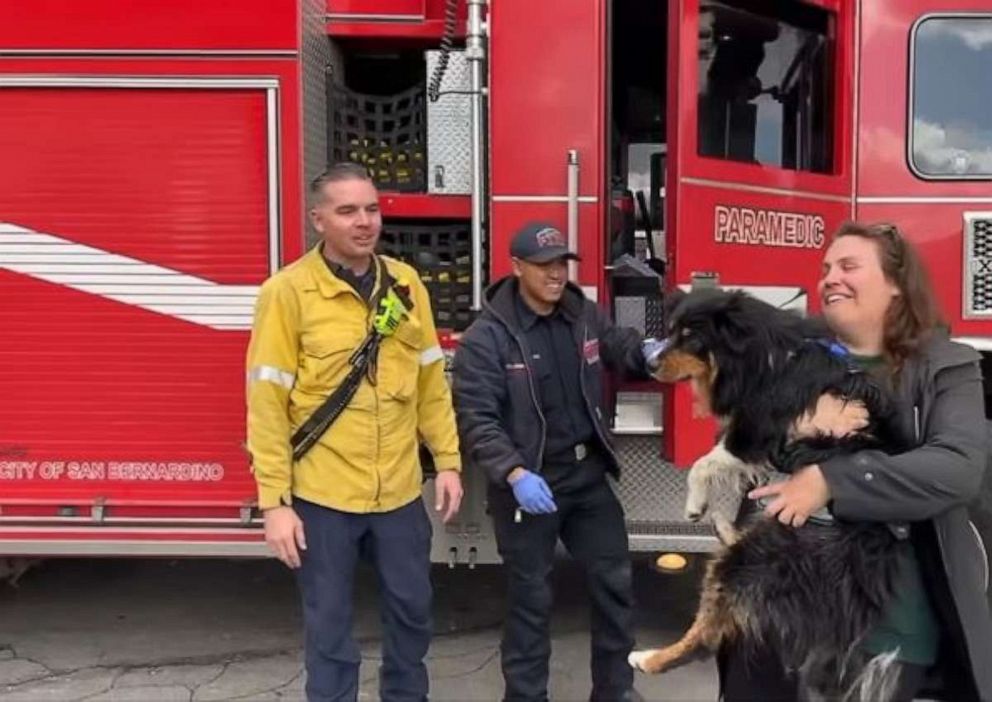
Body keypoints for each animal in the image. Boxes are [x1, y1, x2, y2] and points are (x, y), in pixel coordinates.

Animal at [632, 290, 912, 702]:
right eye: (670, 331)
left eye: (691, 336)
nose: (649, 363)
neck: (763, 357)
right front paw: (712, 508)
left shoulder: (754, 430)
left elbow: (703, 462)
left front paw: (694, 505)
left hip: (753, 559)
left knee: (707, 636)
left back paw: (648, 658)